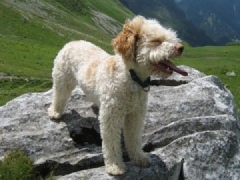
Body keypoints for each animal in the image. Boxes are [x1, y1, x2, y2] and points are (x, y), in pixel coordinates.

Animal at [48, 16, 188, 175]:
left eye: (171, 37)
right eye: (157, 41)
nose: (180, 47)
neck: (132, 78)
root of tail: (73, 42)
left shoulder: (136, 115)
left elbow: (134, 137)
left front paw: (139, 158)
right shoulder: (111, 117)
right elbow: (111, 143)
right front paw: (115, 166)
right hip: (62, 78)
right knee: (59, 95)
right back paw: (55, 112)